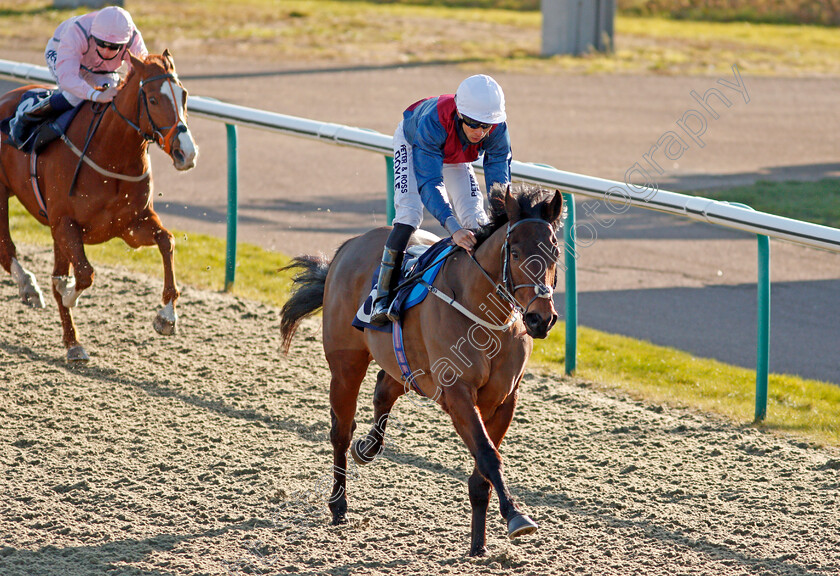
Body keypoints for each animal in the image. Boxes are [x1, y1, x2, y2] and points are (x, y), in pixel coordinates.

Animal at [0, 51, 199, 362]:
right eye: (153, 99)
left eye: (185, 95)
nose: (186, 153)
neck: (111, 154)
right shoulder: (66, 223)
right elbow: (82, 274)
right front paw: (67, 290)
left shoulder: (130, 226)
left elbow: (167, 240)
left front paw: (166, 317)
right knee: (6, 249)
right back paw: (29, 287)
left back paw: (73, 343)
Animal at [280, 183, 564, 552]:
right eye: (514, 254)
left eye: (554, 252)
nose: (540, 318)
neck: (483, 312)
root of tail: (350, 245)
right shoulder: (458, 393)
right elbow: (488, 456)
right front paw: (516, 517)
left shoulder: (504, 399)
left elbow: (482, 472)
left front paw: (478, 544)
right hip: (345, 365)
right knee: (341, 431)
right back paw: (339, 503)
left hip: (408, 367)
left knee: (384, 389)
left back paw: (368, 449)